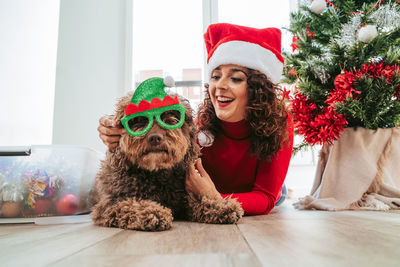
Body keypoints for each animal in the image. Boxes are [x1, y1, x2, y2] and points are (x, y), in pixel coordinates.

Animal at [90, 92, 242, 232]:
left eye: (170, 118)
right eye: (139, 120)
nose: (155, 138)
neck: (155, 173)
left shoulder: (181, 198)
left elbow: (194, 199)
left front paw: (221, 206)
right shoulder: (109, 204)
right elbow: (130, 204)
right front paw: (152, 212)